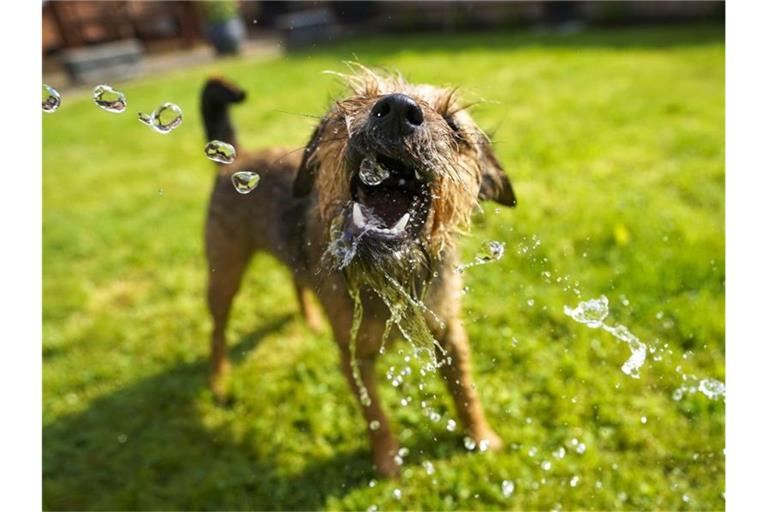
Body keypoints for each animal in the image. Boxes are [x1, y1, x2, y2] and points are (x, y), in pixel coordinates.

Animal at [202, 68, 516, 476]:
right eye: (352, 105)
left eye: (454, 126)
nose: (397, 107)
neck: (393, 275)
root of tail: (234, 158)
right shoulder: (354, 355)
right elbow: (375, 415)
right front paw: (388, 464)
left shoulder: (449, 333)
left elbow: (465, 391)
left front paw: (482, 438)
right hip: (224, 275)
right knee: (218, 332)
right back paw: (219, 381)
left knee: (296, 281)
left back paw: (309, 320)